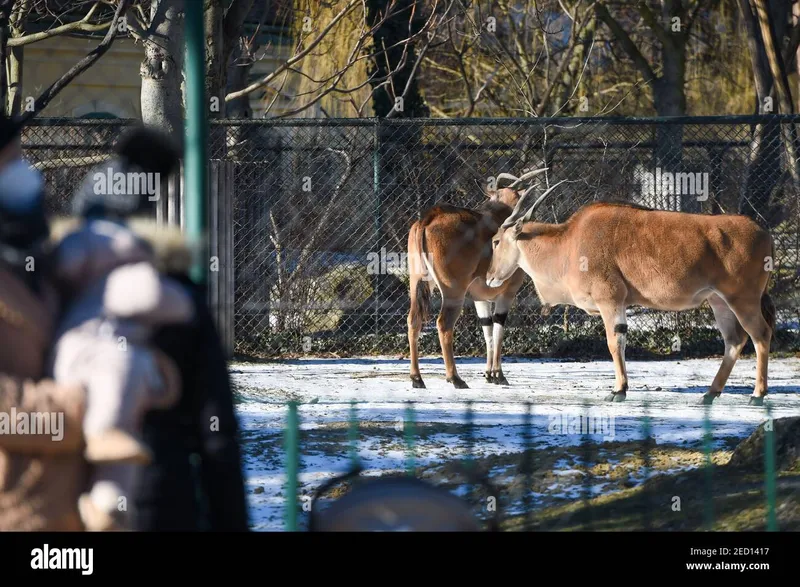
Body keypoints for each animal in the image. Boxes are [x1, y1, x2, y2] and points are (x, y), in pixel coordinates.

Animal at [406, 165, 552, 388]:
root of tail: (427, 219)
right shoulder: (507, 293)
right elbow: (498, 329)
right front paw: (498, 375)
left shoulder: (479, 298)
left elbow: (487, 330)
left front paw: (489, 374)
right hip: (453, 291)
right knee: (443, 324)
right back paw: (455, 378)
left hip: (418, 284)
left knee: (413, 320)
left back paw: (417, 378)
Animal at [482, 186, 776, 406]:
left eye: (496, 241)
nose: (489, 277)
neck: (569, 243)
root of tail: (764, 232)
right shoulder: (620, 304)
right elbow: (621, 341)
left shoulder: (609, 301)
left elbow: (614, 343)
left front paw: (618, 390)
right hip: (719, 302)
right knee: (734, 341)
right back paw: (710, 393)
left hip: (742, 299)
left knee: (760, 334)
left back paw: (757, 395)